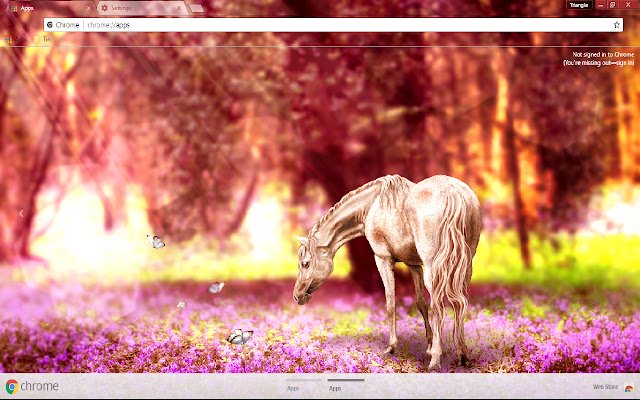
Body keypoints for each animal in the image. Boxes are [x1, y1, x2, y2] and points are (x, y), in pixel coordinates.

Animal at [293, 174, 482, 371]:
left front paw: (392, 347)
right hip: (466, 265)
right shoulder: (414, 265)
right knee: (460, 304)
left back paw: (436, 360)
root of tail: (452, 191)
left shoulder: (383, 259)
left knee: (438, 307)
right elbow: (420, 303)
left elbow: (391, 303)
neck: (372, 205)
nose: (297, 296)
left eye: (305, 264)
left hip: (434, 269)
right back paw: (462, 354)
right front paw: (429, 346)